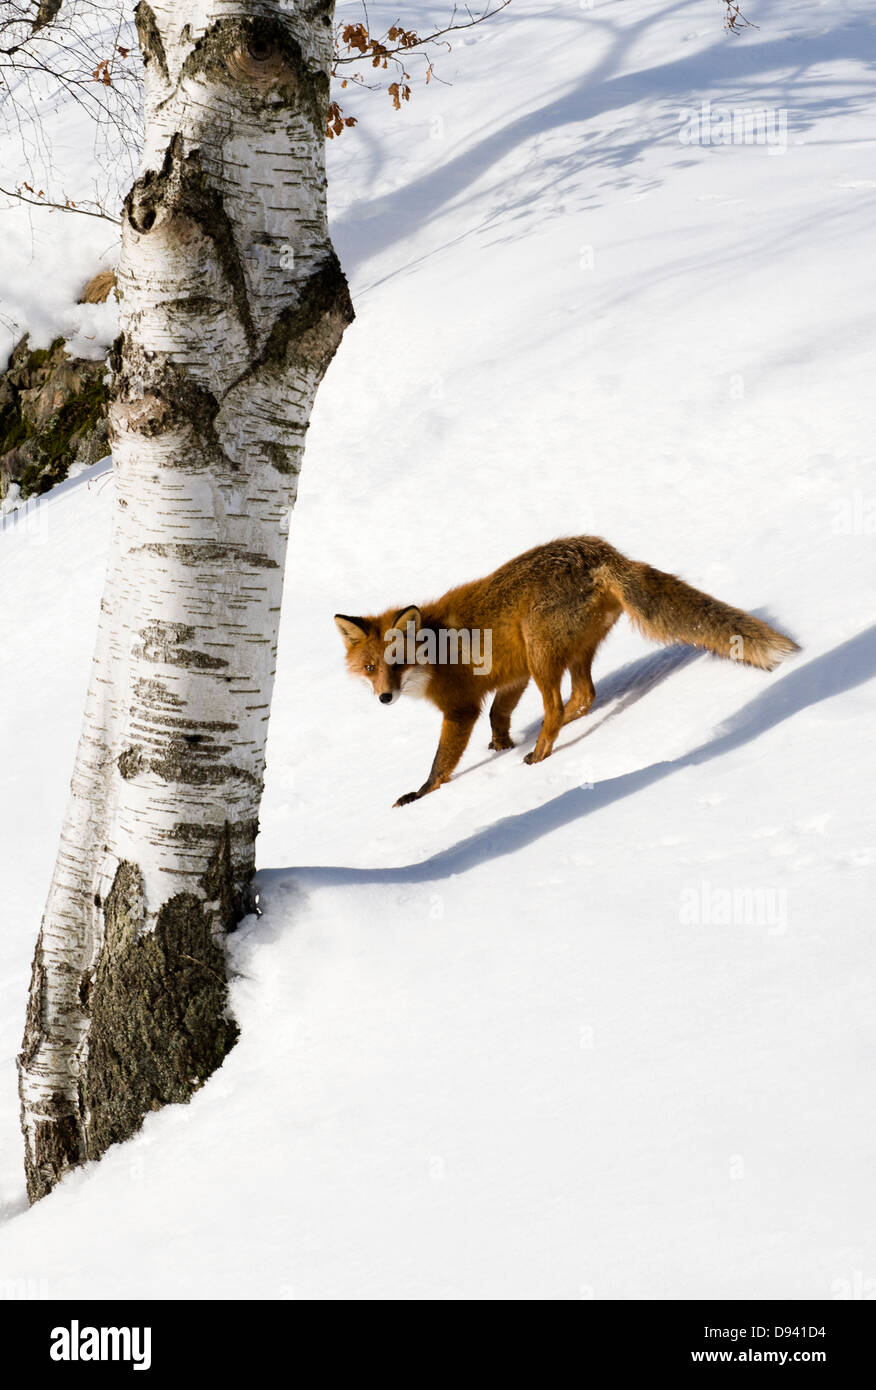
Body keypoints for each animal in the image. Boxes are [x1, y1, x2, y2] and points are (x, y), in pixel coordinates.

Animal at [336, 536, 800, 811]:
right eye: (372, 668)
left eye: (398, 665)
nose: (384, 697)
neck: (436, 650)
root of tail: (600, 551)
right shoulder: (513, 677)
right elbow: (499, 715)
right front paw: (501, 745)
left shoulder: (460, 708)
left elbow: (440, 763)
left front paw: (421, 794)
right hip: (565, 653)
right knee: (584, 696)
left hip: (541, 654)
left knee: (558, 706)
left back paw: (541, 753)